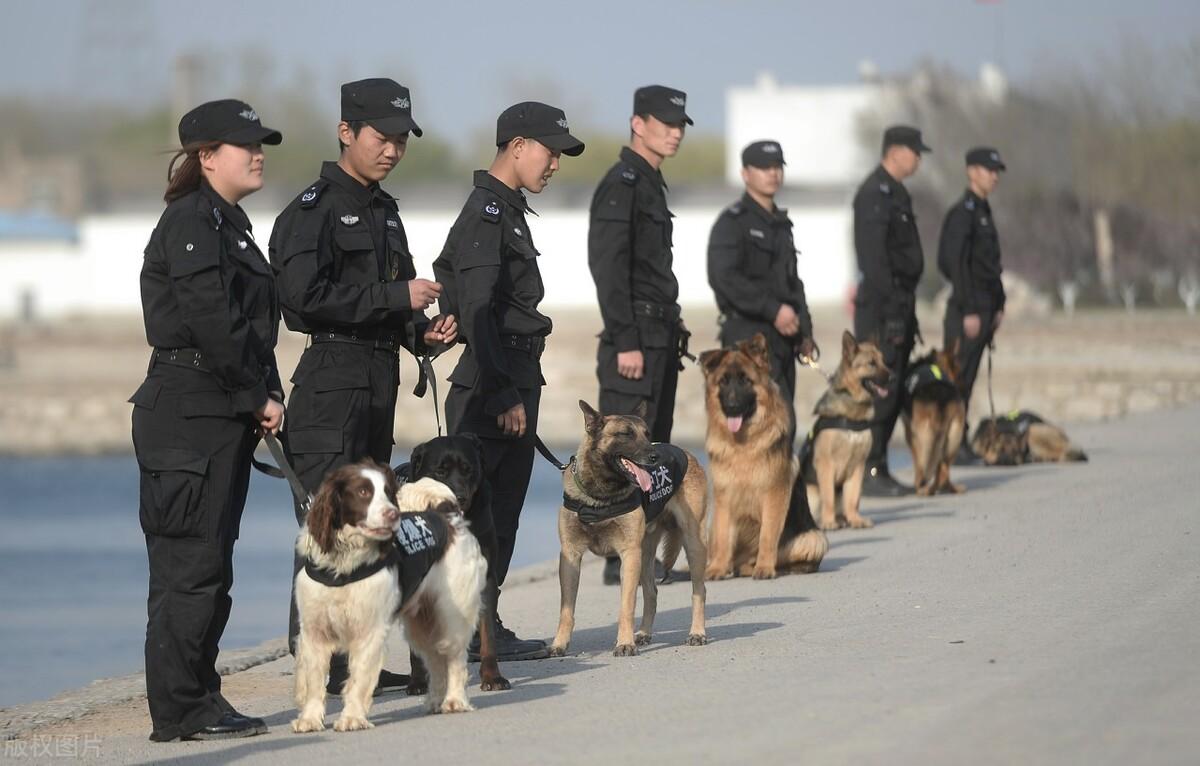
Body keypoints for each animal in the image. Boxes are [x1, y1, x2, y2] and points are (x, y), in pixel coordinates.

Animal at [292, 458, 484, 734]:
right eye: (363, 492)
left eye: (387, 492)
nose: (393, 514)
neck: (344, 565)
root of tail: (447, 514)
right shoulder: (314, 630)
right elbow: (314, 680)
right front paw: (310, 719)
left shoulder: (369, 629)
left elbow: (359, 678)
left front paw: (352, 718)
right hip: (422, 622)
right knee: (436, 660)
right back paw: (436, 700)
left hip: (452, 614)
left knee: (454, 658)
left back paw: (454, 700)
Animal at [393, 437, 506, 696]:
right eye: (440, 472)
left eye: (468, 470)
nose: (460, 496)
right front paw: (418, 681)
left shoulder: (484, 577)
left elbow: (488, 633)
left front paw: (492, 676)